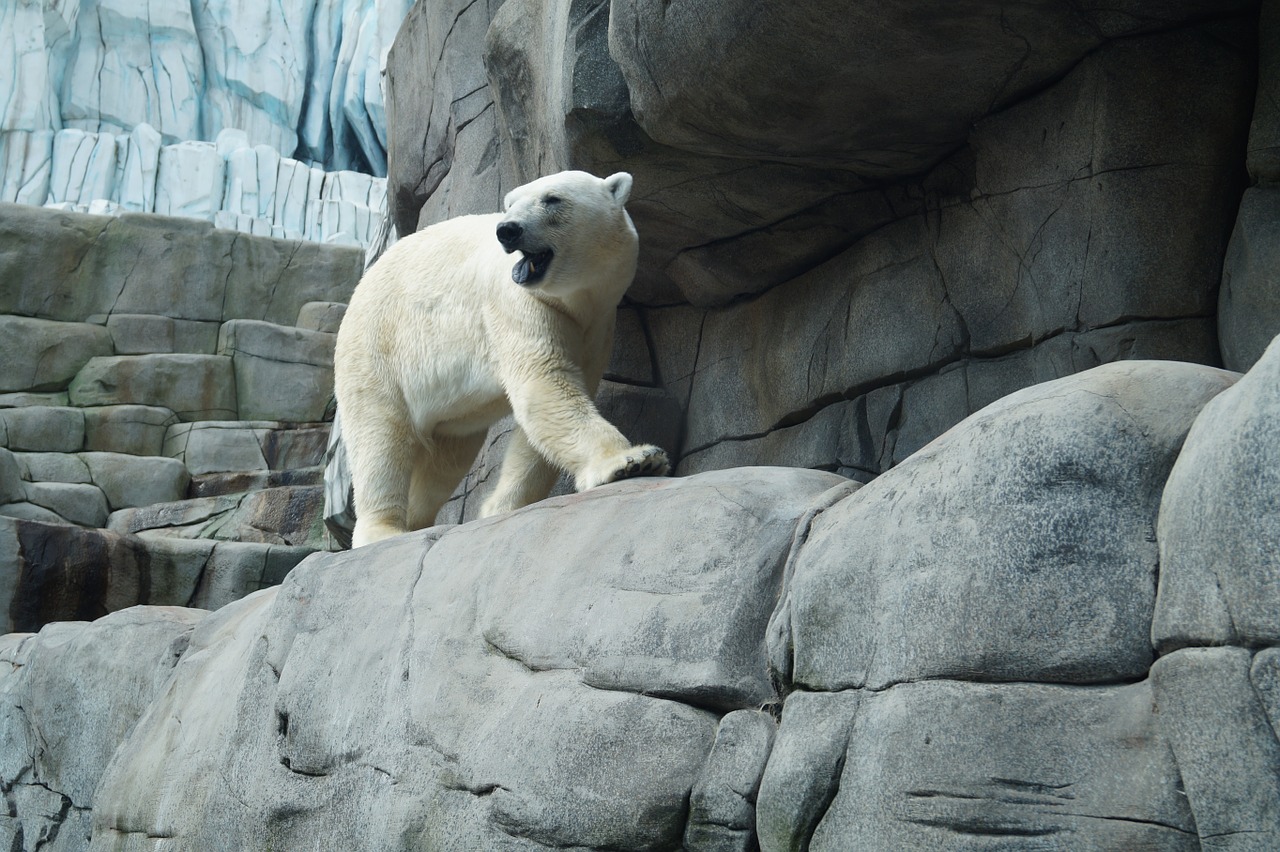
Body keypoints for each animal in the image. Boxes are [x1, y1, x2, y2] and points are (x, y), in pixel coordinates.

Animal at [330, 168, 670, 547]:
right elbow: (544, 387)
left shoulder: (596, 325)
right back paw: (383, 530)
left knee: (445, 459)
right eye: (510, 203)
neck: (577, 301)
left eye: (552, 199)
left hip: (448, 409)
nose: (508, 229)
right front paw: (632, 460)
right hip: (377, 347)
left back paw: (417, 521)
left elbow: (539, 419)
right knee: (380, 438)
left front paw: (500, 507)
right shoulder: (519, 304)